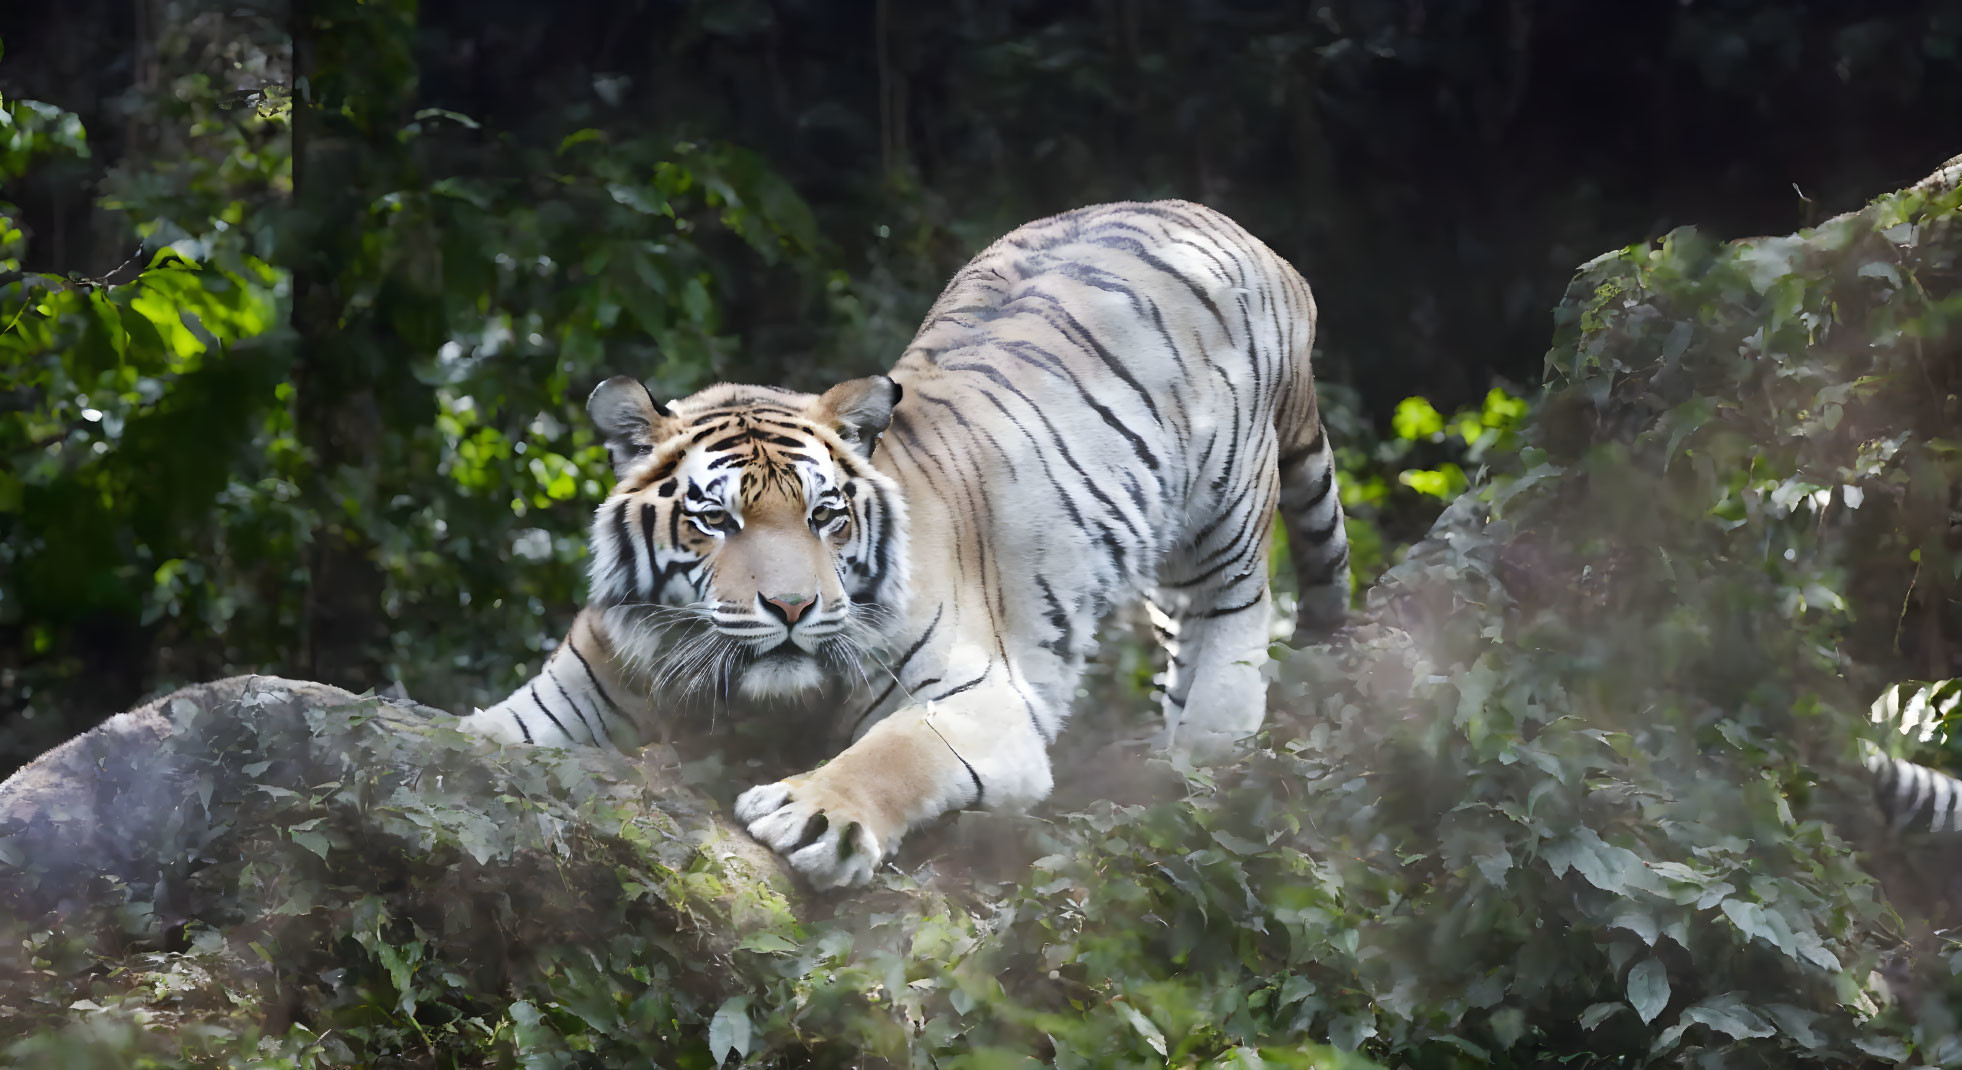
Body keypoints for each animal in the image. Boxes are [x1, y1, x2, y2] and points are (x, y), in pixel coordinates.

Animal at [457, 200, 1349, 883]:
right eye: (716, 521)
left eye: (825, 516)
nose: (792, 607)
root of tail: (1231, 227)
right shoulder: (569, 697)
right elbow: (481, 738)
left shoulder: (981, 696)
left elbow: (900, 749)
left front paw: (814, 815)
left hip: (1228, 512)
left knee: (1232, 623)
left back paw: (1206, 762)